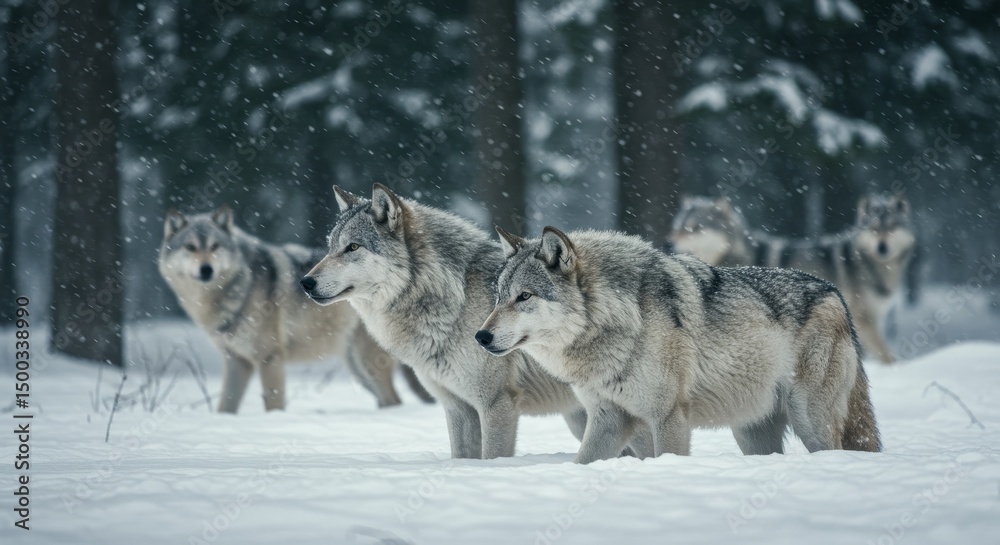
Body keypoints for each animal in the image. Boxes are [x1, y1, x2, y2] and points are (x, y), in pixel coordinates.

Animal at [159, 205, 432, 413]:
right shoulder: (236, 361)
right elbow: (225, 407)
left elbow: (273, 404)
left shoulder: (270, 358)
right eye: (190, 248)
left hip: (367, 364)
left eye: (215, 246)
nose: (206, 269)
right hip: (358, 369)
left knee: (395, 400)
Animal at [299, 184, 591, 459]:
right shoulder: (457, 406)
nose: (305, 282)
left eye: (353, 247)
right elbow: (460, 456)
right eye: (330, 248)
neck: (453, 300)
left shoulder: (496, 404)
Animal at [477, 226, 882, 463]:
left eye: (524, 296)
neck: (619, 318)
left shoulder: (668, 416)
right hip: (751, 431)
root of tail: (835, 294)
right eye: (498, 297)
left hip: (810, 421)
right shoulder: (608, 419)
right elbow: (583, 461)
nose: (481, 336)